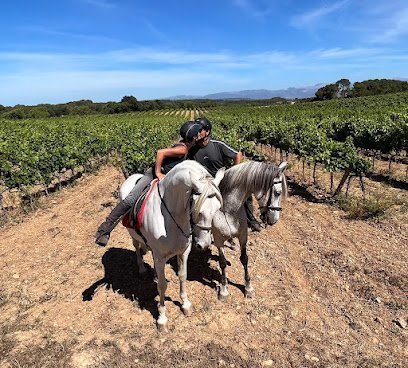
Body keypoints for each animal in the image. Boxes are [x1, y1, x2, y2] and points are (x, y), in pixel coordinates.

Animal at [119, 160, 225, 330]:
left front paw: (185, 304)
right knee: (137, 248)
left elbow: (182, 276)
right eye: (198, 211)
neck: (170, 217)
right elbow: (162, 286)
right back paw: (142, 269)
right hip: (133, 236)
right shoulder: (161, 258)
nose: (204, 244)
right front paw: (162, 318)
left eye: (217, 209)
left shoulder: (183, 252)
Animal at [212, 161, 288, 300]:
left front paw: (248, 287)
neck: (228, 211)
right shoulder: (219, 240)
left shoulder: (243, 237)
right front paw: (224, 289)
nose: (274, 220)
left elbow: (244, 259)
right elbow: (222, 262)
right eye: (277, 193)